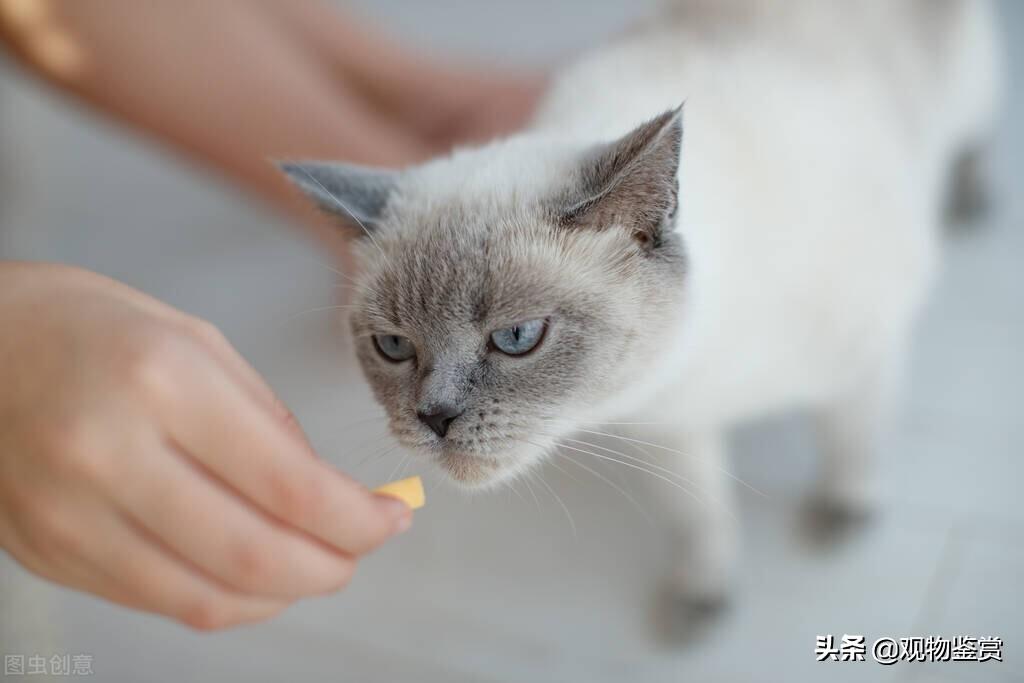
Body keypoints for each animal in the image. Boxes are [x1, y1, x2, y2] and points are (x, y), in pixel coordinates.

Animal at [280, 0, 999, 610]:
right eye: (393, 346)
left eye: (517, 337)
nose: (433, 417)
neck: (686, 379)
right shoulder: (669, 433)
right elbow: (699, 513)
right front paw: (702, 593)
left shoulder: (863, 355)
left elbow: (853, 442)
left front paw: (843, 511)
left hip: (967, 91)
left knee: (977, 128)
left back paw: (974, 199)